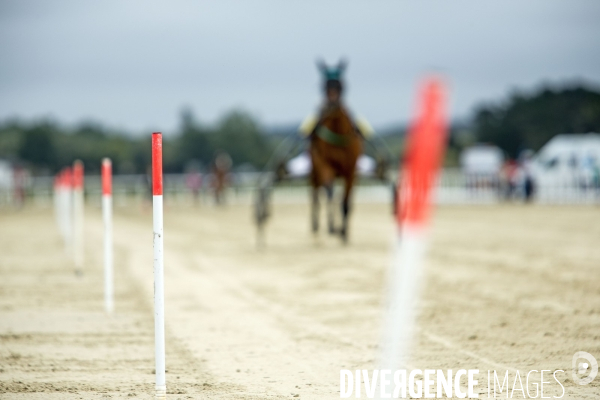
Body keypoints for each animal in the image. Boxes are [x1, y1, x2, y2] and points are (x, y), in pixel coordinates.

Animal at [312, 101, 364, 242]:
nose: (321, 109)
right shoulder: (325, 166)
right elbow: (329, 192)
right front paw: (332, 227)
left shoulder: (350, 172)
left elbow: (345, 202)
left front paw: (343, 232)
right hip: (315, 172)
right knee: (315, 195)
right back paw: (316, 226)